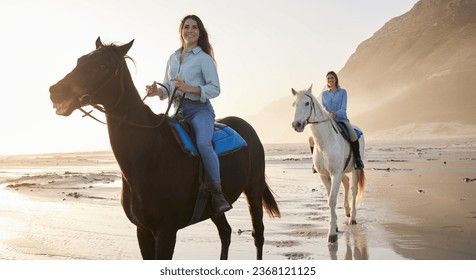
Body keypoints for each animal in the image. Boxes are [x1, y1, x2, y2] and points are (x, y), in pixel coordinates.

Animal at [49, 37, 278, 260]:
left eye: (103, 66)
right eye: (80, 60)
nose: (56, 91)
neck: (149, 153)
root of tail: (247, 128)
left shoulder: (166, 231)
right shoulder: (143, 231)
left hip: (254, 190)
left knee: (258, 234)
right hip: (215, 209)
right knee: (226, 232)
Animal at [290, 85, 364, 243]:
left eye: (307, 103)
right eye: (293, 104)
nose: (296, 125)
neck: (324, 142)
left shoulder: (335, 174)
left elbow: (332, 200)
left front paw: (332, 233)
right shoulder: (325, 175)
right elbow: (329, 199)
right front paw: (334, 226)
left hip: (355, 170)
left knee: (354, 190)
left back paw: (353, 218)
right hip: (342, 172)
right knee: (346, 183)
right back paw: (347, 212)